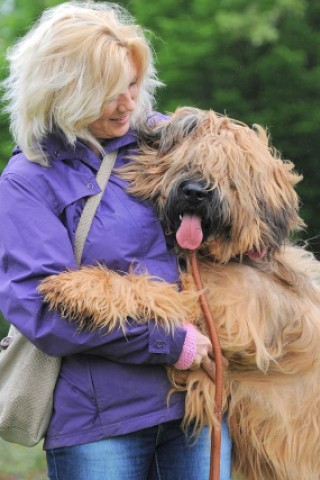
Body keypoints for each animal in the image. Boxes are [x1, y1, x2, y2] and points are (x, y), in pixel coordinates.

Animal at [38, 109, 320, 480]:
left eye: (227, 172)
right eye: (188, 161)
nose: (195, 192)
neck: (220, 257)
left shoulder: (224, 321)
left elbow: (154, 289)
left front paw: (76, 285)